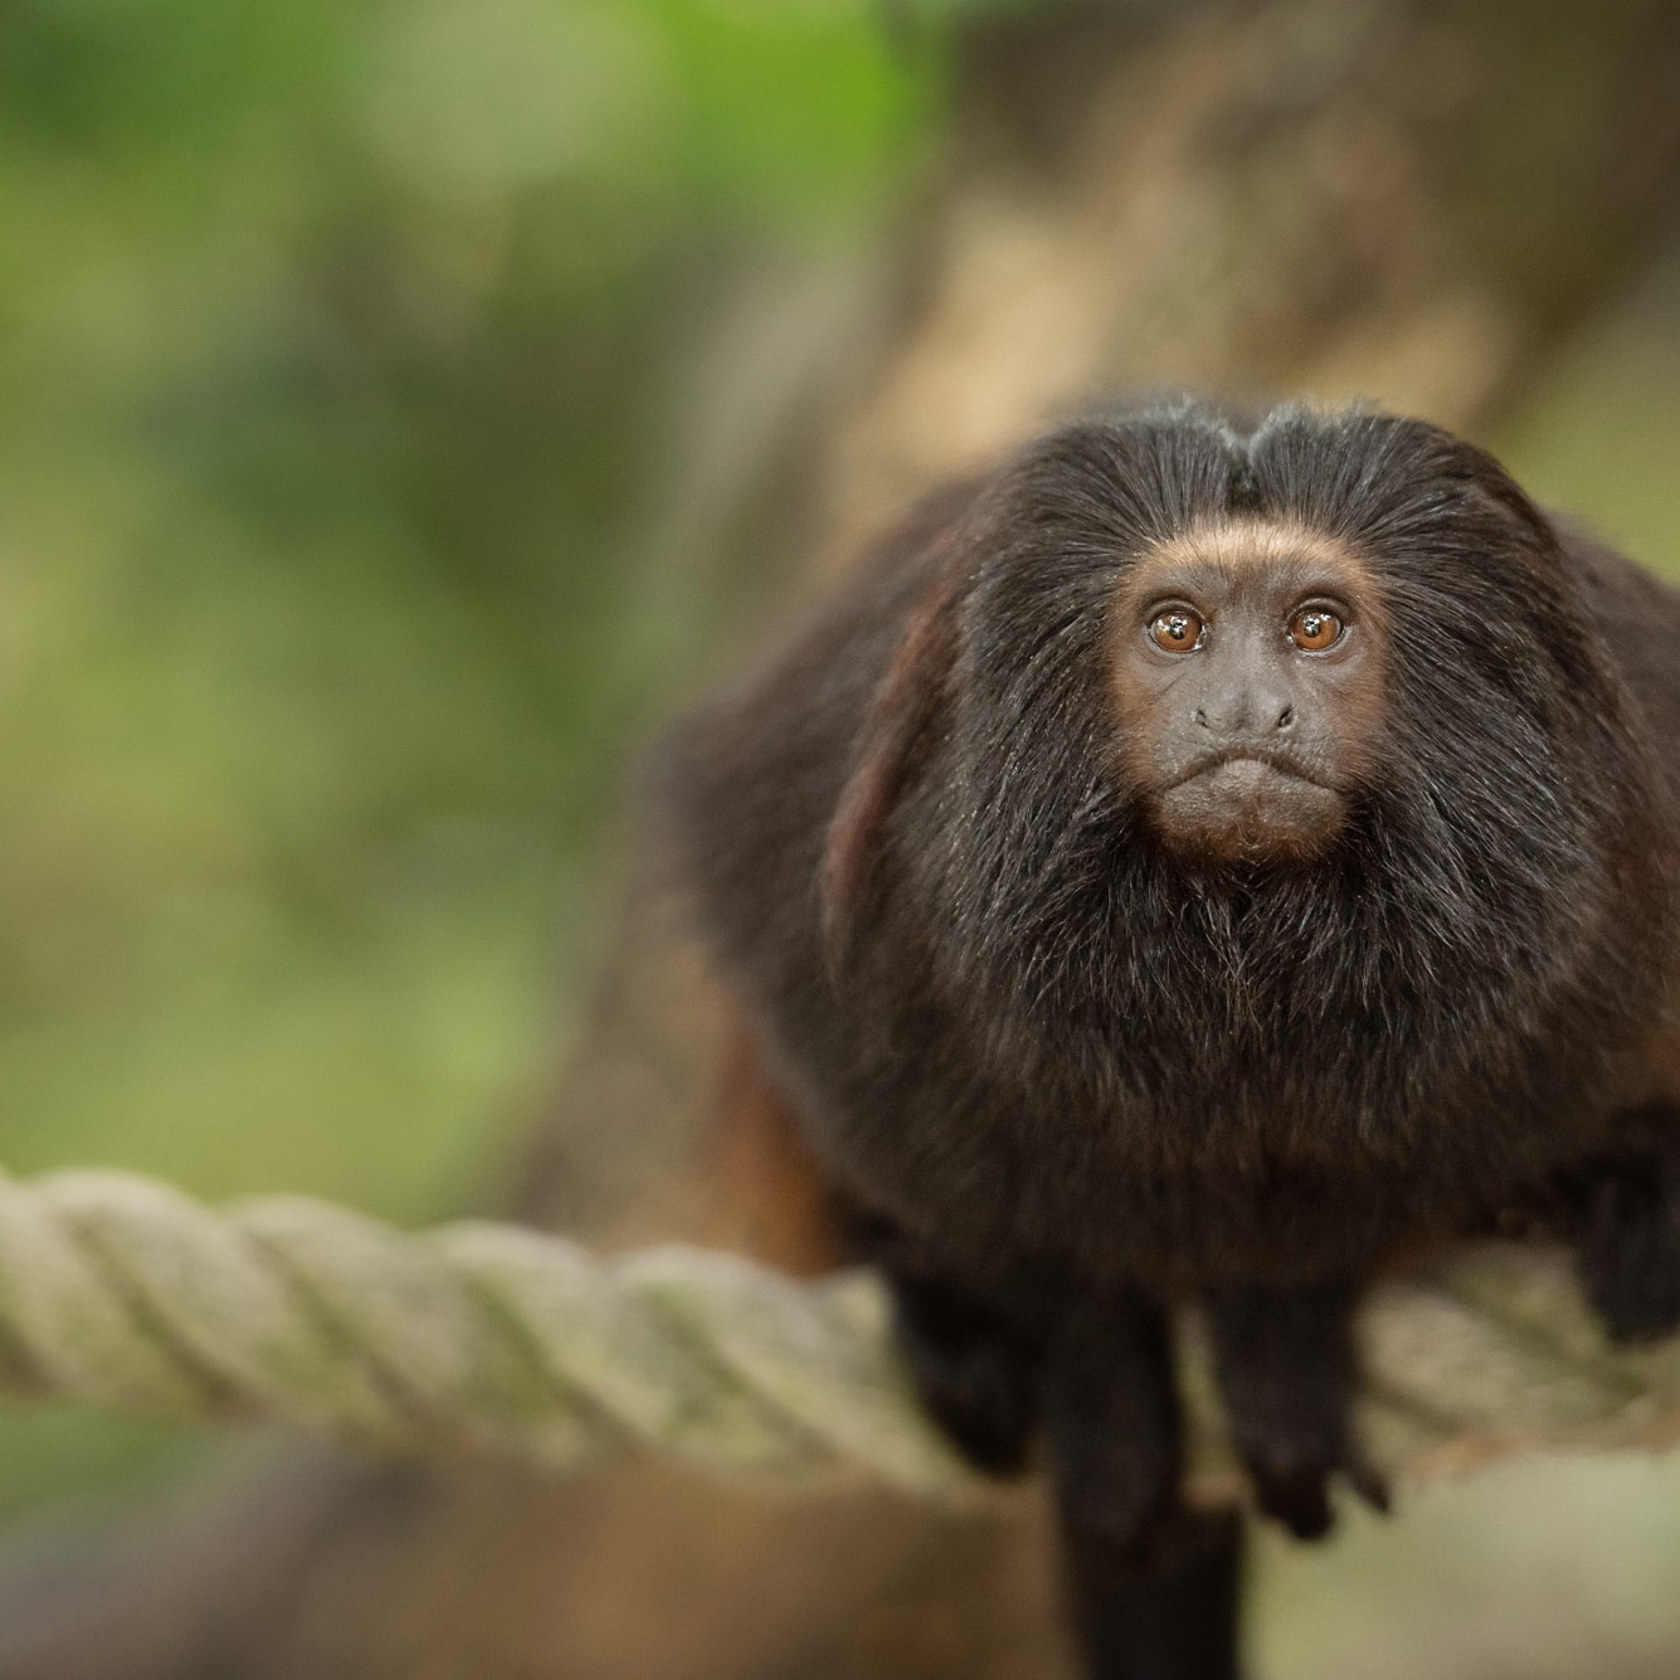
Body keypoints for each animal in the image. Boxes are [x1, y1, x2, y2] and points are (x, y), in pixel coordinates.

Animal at [658, 396, 1680, 1680]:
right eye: (1177, 630)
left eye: (1316, 625)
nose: (1246, 713)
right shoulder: (827, 844)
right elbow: (986, 1196)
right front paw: (1086, 1367)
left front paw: (1281, 1339)